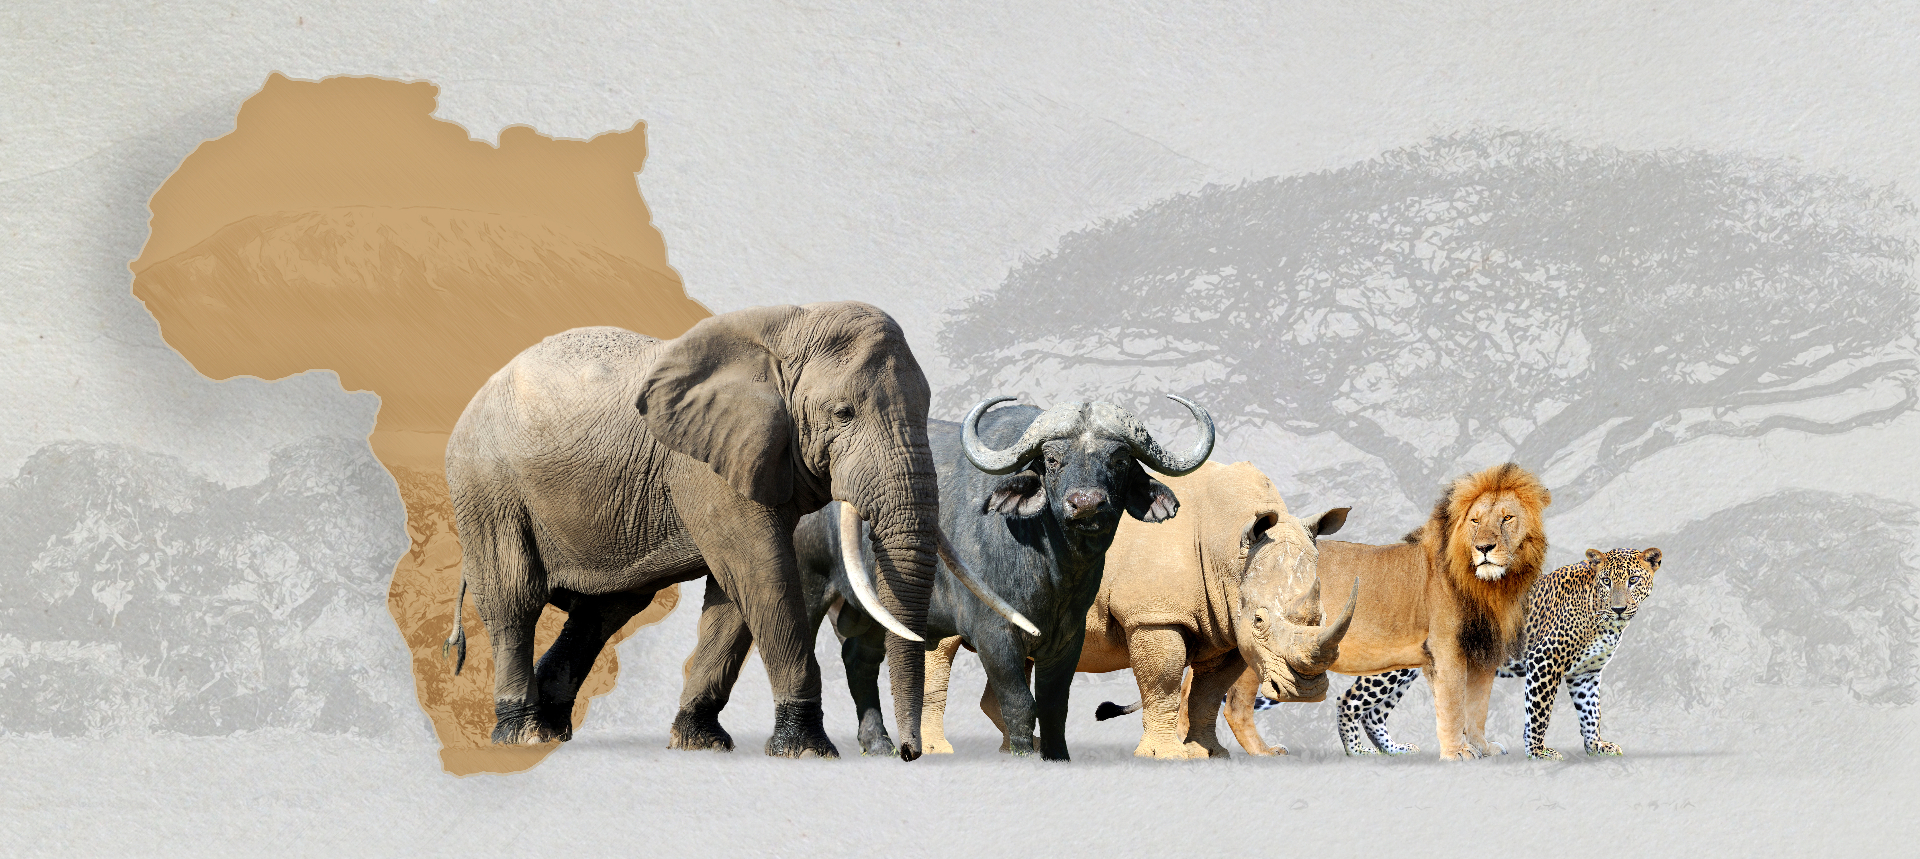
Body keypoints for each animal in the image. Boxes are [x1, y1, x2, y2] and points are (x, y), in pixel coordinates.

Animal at [442, 301, 980, 759]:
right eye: (843, 414)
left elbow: (734, 594)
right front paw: (807, 749)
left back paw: (552, 730)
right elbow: (763, 574)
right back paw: (522, 734)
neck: (789, 326)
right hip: (487, 488)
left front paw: (698, 742)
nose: (908, 753)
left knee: (606, 609)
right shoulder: (707, 465)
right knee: (515, 600)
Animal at [764, 396, 1215, 760]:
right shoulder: (993, 634)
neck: (1052, 569)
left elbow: (1054, 705)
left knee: (859, 658)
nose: (1086, 503)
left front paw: (1057, 756)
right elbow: (1019, 703)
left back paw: (878, 743)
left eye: (1119, 460)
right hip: (809, 584)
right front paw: (1023, 754)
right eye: (1052, 460)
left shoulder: (1068, 639)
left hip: (871, 608)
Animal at [1220, 462, 1551, 760]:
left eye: (1506, 518)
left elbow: (1477, 707)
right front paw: (1457, 753)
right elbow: (1453, 706)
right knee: (1235, 705)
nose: (1484, 548)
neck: (1492, 586)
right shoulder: (1446, 648)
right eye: (1475, 521)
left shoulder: (1483, 651)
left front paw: (1482, 747)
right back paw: (1262, 752)